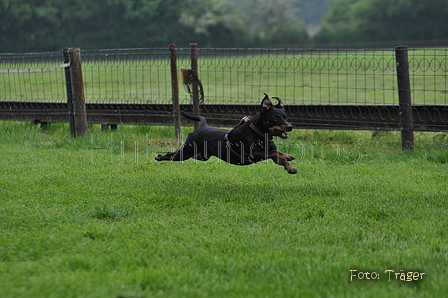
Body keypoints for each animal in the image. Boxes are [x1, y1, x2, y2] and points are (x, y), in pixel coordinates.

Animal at [155, 92, 298, 173]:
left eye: (285, 116)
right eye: (276, 118)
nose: (290, 126)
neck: (259, 134)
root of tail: (203, 126)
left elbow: (277, 155)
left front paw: (290, 168)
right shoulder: (252, 154)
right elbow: (275, 152)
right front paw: (288, 155)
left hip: (200, 156)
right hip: (186, 152)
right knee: (171, 155)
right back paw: (159, 157)